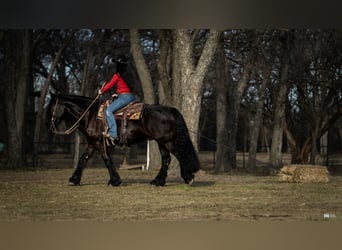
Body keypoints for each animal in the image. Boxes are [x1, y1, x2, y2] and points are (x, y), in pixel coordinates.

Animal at [45, 93, 200, 186]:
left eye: (51, 107)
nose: (48, 125)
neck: (91, 114)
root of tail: (169, 109)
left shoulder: (99, 143)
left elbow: (107, 160)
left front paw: (115, 180)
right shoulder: (92, 143)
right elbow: (83, 159)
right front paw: (74, 179)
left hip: (167, 141)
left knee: (180, 155)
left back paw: (188, 177)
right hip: (161, 142)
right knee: (166, 159)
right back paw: (158, 181)